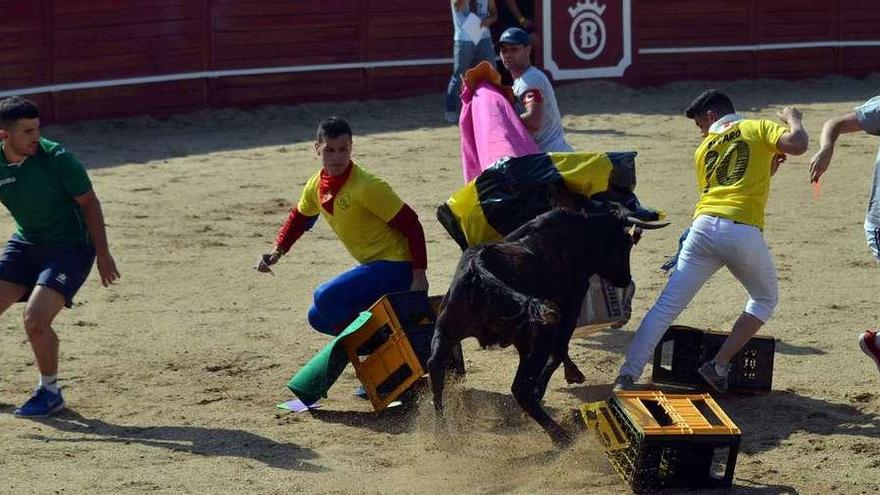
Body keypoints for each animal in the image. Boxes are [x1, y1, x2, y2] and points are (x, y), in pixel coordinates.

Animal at [430, 207, 664, 448]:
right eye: (624, 246)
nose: (626, 278)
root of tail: (480, 270)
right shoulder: (571, 305)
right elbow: (560, 349)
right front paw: (565, 378)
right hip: (534, 341)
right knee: (520, 388)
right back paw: (560, 435)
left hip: (445, 330)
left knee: (435, 367)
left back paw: (442, 432)